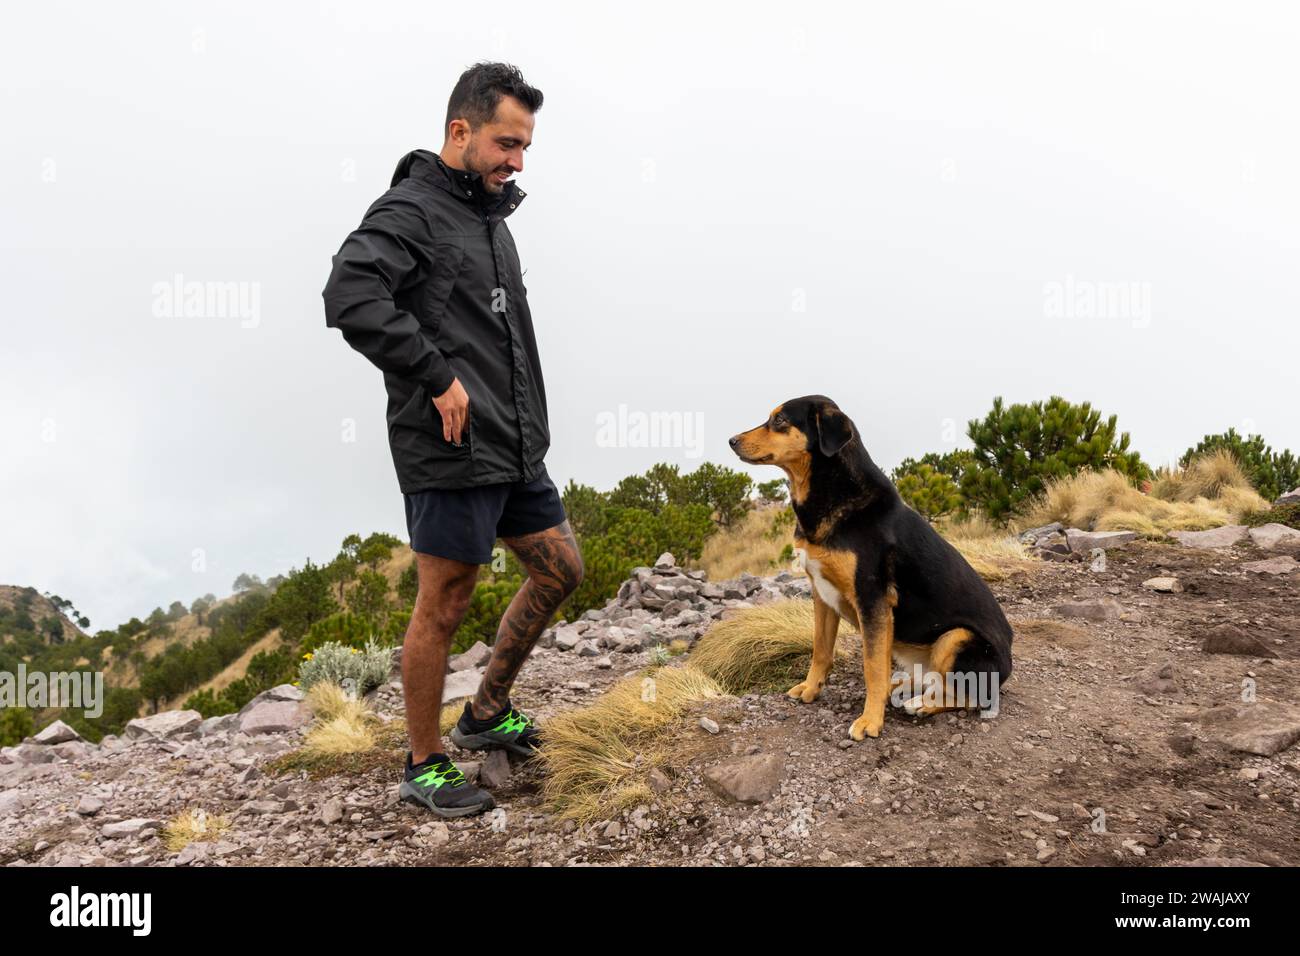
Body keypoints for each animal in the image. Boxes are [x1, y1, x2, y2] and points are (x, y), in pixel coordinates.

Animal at [728, 395, 1008, 738]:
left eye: (780, 420)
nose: (731, 441)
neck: (834, 492)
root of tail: (1008, 667)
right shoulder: (822, 595)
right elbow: (821, 650)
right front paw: (811, 688)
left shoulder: (872, 600)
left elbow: (872, 667)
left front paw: (870, 720)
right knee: (931, 679)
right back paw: (905, 685)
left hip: (956, 638)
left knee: (971, 695)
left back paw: (922, 704)